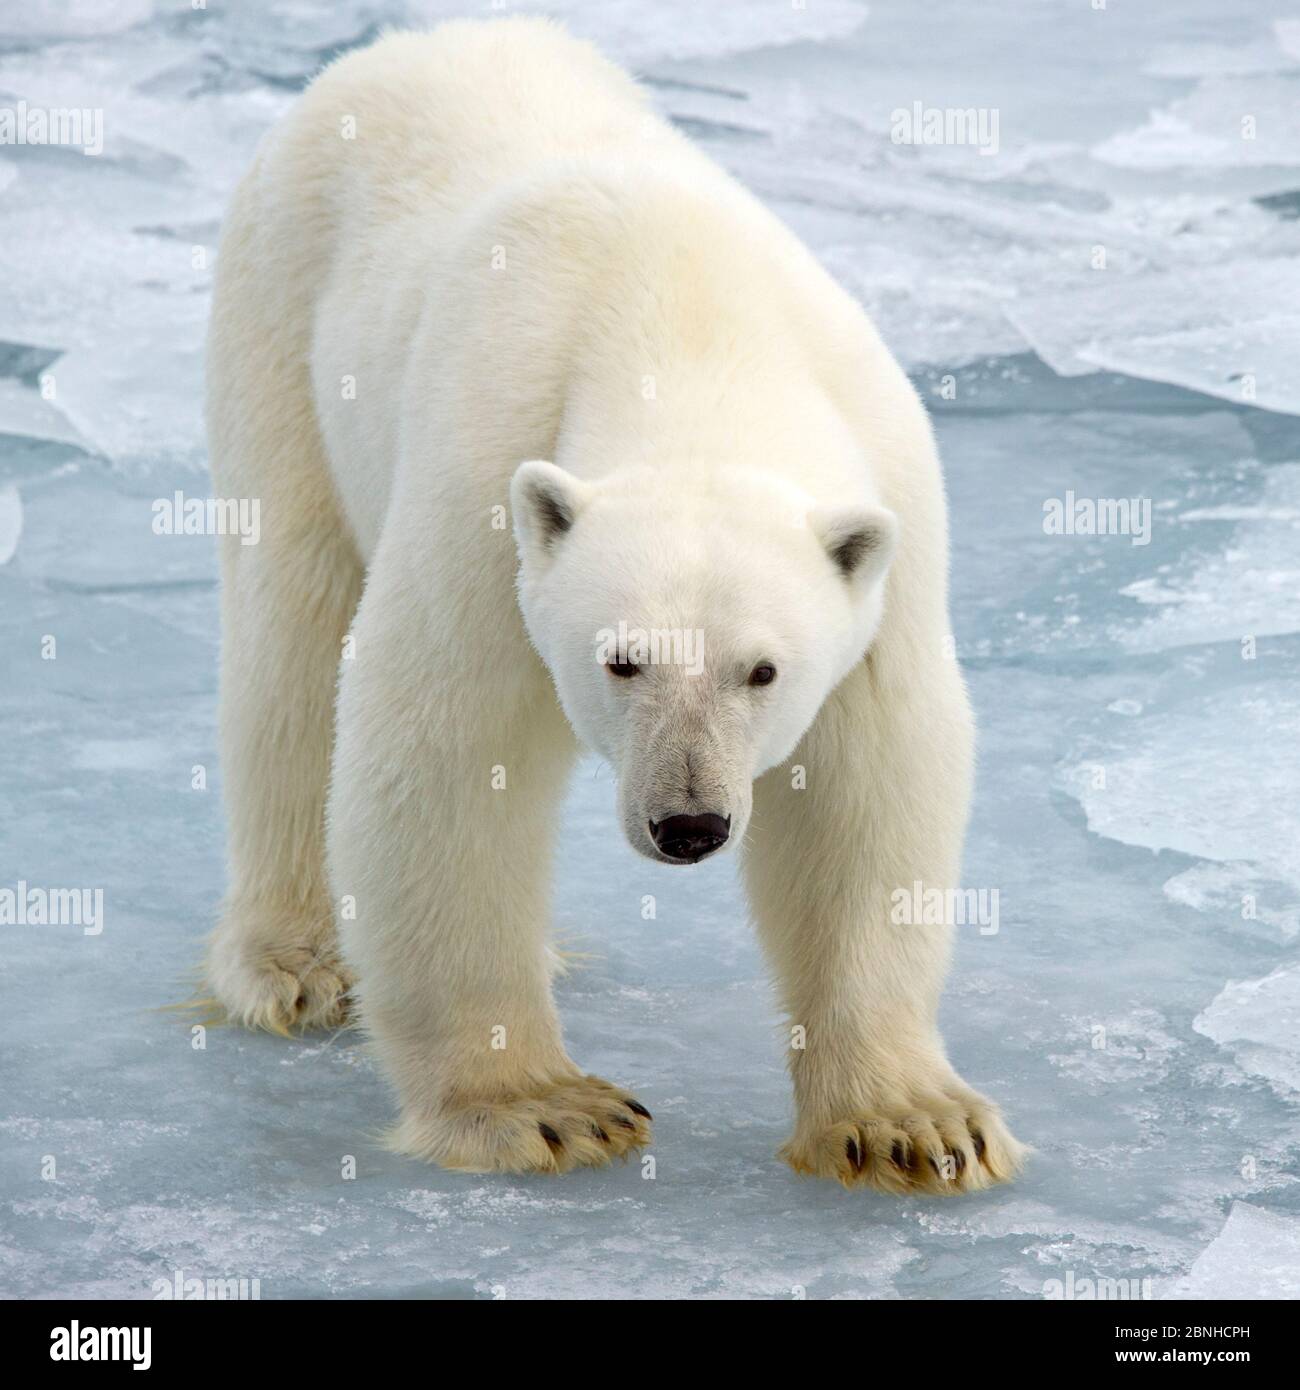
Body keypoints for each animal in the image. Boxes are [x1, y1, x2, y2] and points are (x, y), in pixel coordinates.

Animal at [204, 17, 1025, 1195]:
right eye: (621, 659)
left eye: (762, 670)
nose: (688, 822)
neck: (687, 327)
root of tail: (419, 38)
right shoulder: (485, 487)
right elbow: (443, 745)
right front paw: (544, 1108)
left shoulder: (889, 520)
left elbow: (866, 780)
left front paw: (910, 1125)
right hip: (282, 320)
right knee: (294, 635)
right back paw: (299, 962)